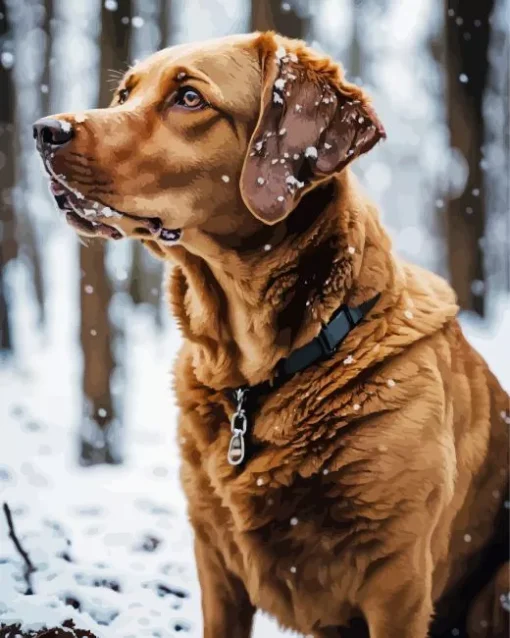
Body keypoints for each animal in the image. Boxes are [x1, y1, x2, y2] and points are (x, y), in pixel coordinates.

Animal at [33, 32, 508, 638]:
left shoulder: (397, 577)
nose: (44, 130)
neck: (254, 371)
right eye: (124, 94)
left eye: (189, 97)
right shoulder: (215, 561)